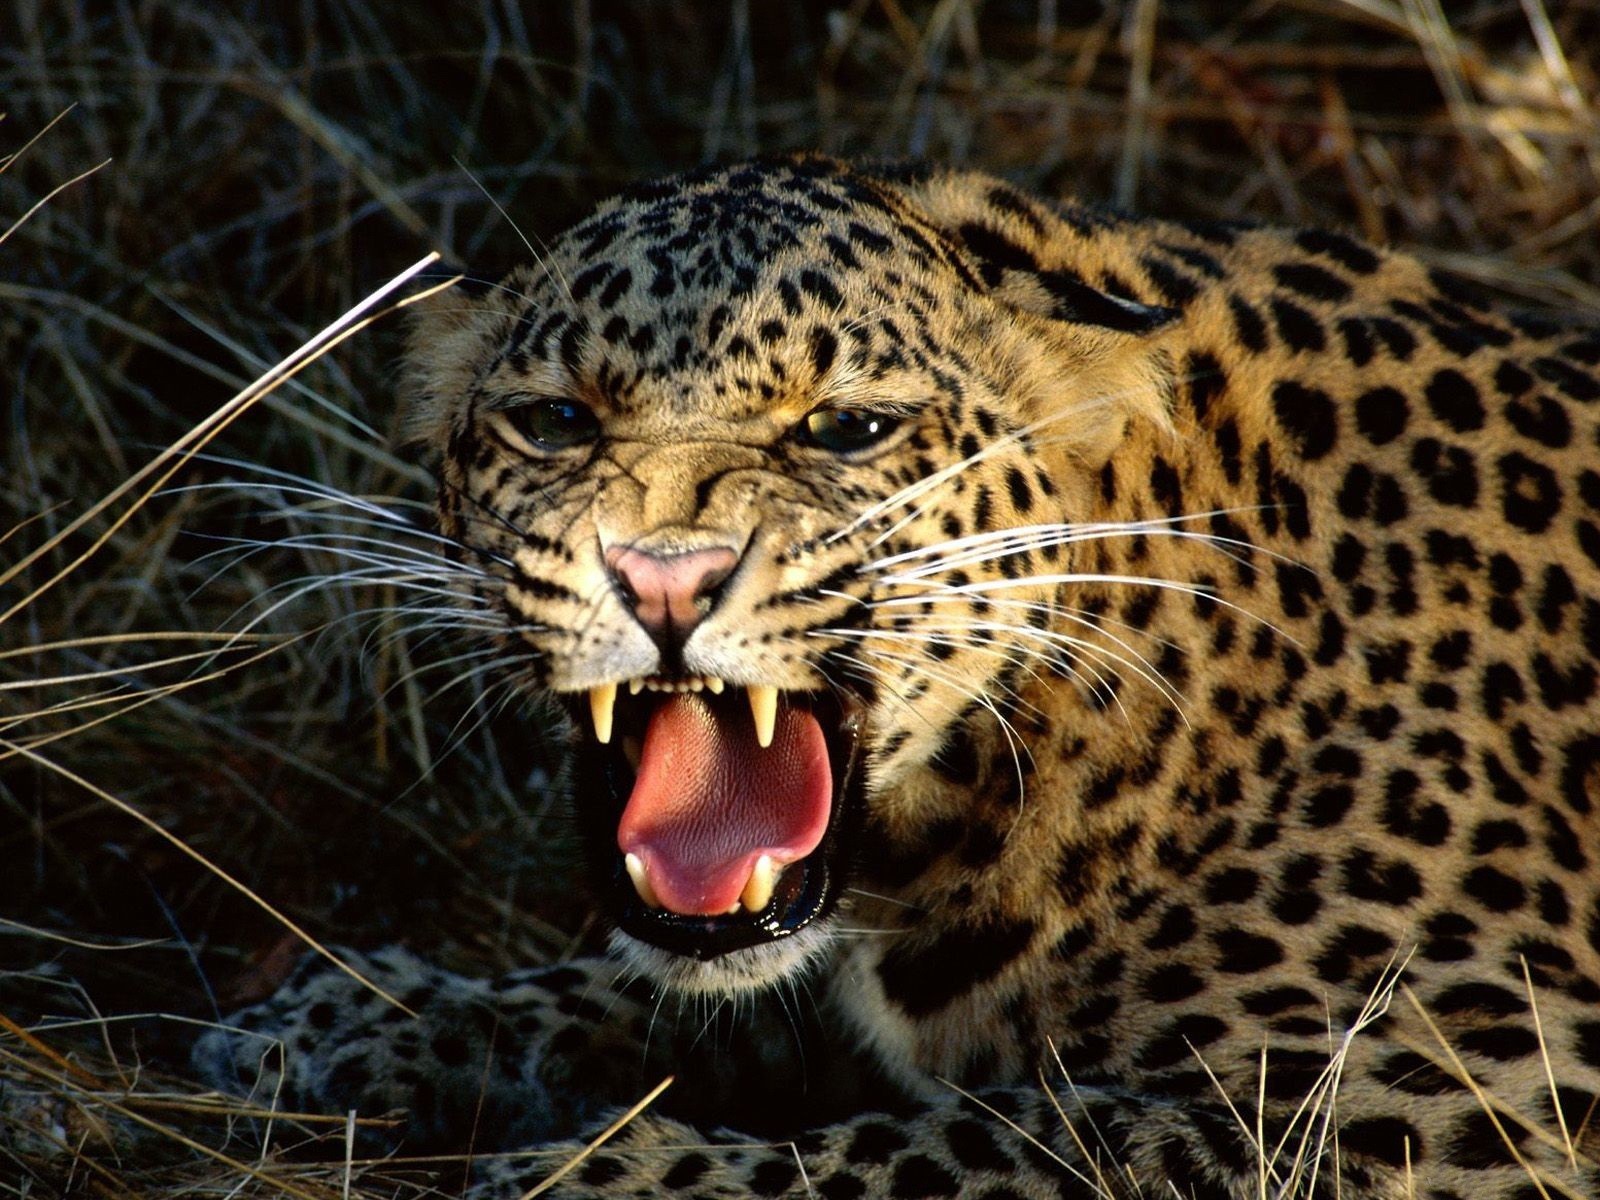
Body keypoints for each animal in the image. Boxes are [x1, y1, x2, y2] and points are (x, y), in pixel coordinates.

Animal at [193, 155, 1600, 1196]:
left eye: (847, 429)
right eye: (556, 423)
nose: (661, 579)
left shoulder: (1477, 1089)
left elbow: (1018, 1142)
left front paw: (591, 1179)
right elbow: (640, 989)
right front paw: (348, 1021)